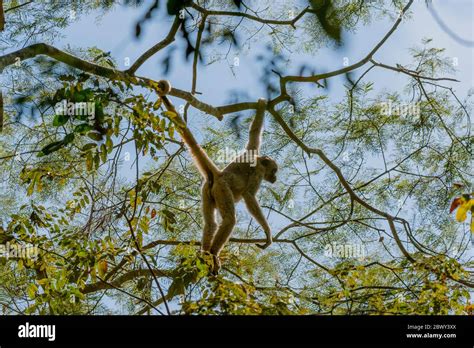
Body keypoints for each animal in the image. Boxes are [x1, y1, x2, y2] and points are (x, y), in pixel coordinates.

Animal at [154, 80, 276, 274]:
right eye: (274, 171)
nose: (275, 178)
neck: (258, 161)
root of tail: (219, 175)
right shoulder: (258, 171)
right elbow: (249, 196)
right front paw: (267, 233)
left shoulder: (252, 151)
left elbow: (254, 133)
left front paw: (261, 105)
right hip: (222, 189)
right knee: (229, 220)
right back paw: (212, 254)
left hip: (207, 190)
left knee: (210, 224)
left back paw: (204, 254)